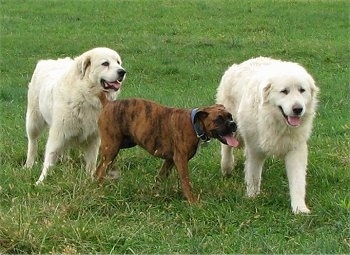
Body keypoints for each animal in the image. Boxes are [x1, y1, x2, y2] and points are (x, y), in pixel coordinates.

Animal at [23, 46, 125, 184]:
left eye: (118, 62)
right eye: (105, 63)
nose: (122, 72)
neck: (86, 95)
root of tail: (46, 61)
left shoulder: (94, 137)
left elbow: (91, 163)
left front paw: (90, 180)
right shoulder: (58, 133)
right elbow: (49, 159)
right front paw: (41, 181)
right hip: (34, 122)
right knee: (32, 142)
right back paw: (29, 165)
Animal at [94, 95, 239, 203]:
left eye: (230, 116)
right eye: (218, 120)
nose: (233, 124)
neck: (194, 124)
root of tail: (107, 104)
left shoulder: (170, 160)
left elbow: (160, 177)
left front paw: (155, 193)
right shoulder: (180, 159)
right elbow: (186, 182)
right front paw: (193, 201)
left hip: (120, 145)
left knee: (98, 169)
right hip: (112, 147)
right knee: (101, 171)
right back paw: (100, 191)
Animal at [215, 56, 318, 213]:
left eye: (302, 90)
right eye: (284, 91)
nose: (298, 109)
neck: (276, 121)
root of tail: (238, 65)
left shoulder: (296, 149)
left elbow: (298, 181)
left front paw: (299, 208)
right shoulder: (254, 148)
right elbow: (253, 175)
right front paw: (252, 197)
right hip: (233, 126)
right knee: (227, 146)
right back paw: (227, 168)